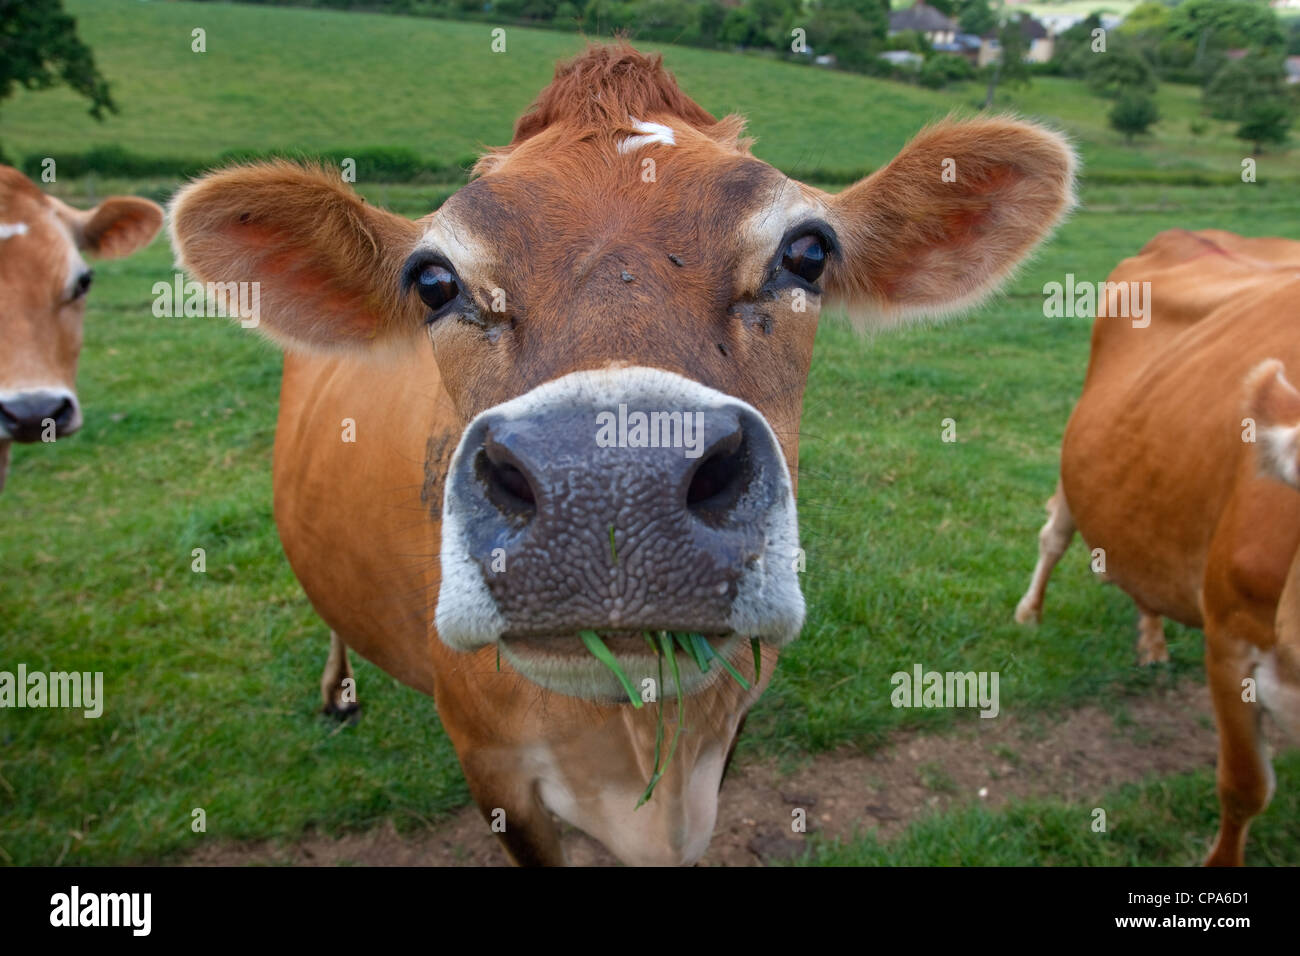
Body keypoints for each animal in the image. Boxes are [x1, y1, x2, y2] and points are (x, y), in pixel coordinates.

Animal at [1014, 228, 1300, 865]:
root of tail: (1190, 235)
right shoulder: (1230, 641)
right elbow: (1245, 787)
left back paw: (1151, 638)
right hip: (1075, 463)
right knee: (1054, 535)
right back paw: (1030, 613)